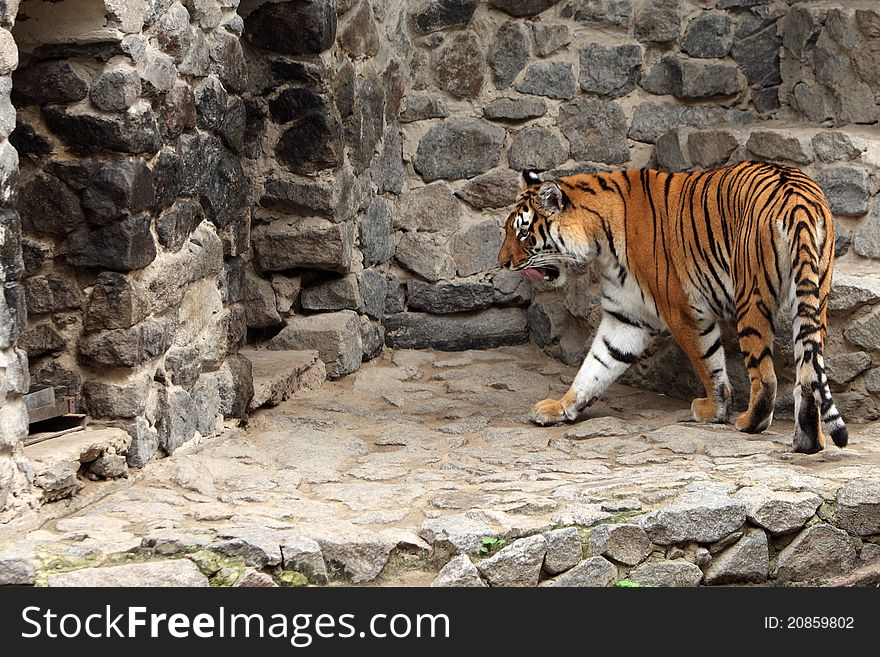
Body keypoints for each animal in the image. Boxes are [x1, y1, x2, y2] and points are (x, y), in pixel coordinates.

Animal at [496, 161, 844, 454]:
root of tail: (797, 197)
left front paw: (713, 409)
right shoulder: (626, 317)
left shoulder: (684, 312)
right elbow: (597, 365)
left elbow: (708, 364)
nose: (503, 263)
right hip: (814, 297)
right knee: (809, 372)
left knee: (766, 376)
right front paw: (562, 406)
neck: (600, 241)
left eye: (524, 232)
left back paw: (749, 423)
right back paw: (809, 441)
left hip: (752, 296)